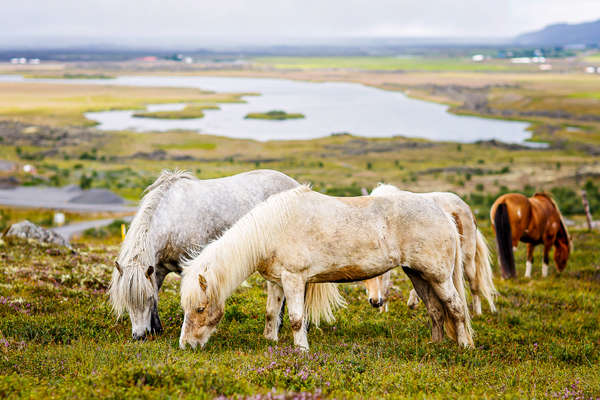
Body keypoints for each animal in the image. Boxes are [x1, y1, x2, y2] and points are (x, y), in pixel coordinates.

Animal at [108, 167, 302, 340]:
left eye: (145, 299)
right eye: (126, 302)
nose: (139, 336)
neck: (171, 218)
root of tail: (296, 185)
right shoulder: (158, 268)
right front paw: (157, 329)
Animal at [179, 185, 474, 350]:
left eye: (201, 309)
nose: (186, 346)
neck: (271, 229)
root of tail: (443, 214)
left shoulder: (294, 279)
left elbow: (296, 319)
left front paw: (302, 351)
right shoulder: (277, 282)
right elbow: (272, 314)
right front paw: (270, 342)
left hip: (439, 277)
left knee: (457, 308)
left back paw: (465, 346)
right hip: (419, 276)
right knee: (435, 310)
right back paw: (435, 346)